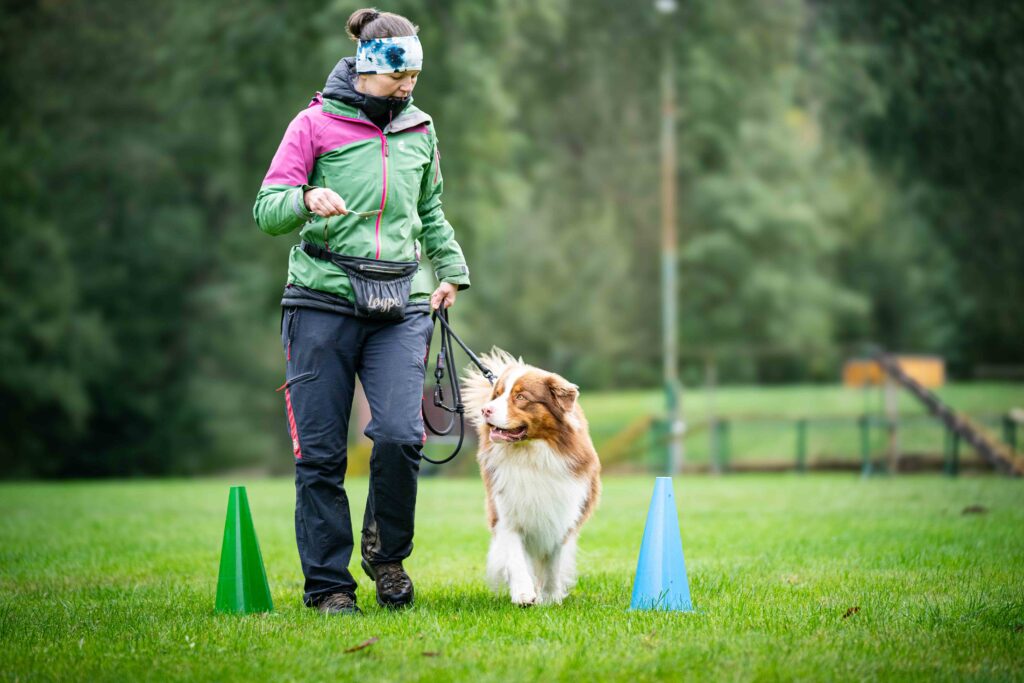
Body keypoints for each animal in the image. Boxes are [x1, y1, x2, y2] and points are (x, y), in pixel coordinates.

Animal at [463, 349, 601, 606]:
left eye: (520, 397)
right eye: (498, 394)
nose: (485, 410)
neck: (530, 454)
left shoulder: (561, 513)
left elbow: (553, 563)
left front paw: (551, 596)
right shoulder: (507, 510)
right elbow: (516, 556)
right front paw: (524, 593)